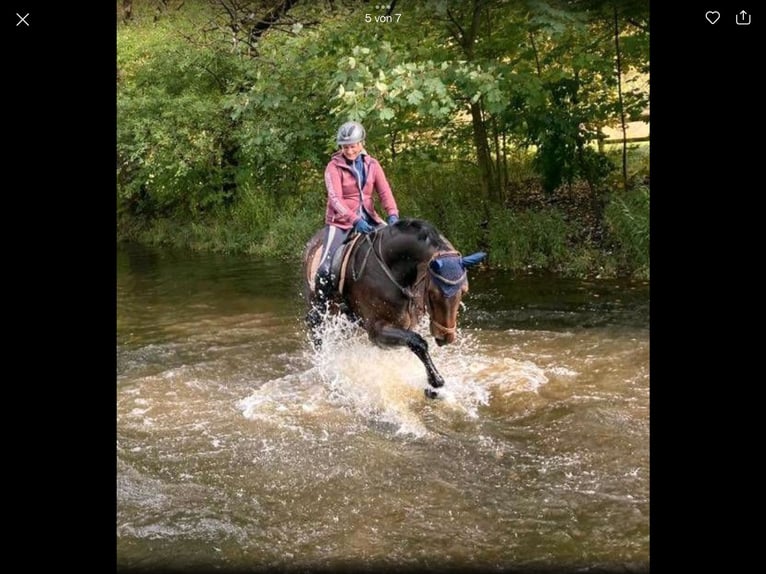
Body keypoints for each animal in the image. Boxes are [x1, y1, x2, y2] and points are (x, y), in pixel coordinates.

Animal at [302, 218, 486, 398]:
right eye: (433, 293)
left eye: (464, 291)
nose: (446, 337)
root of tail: (315, 239)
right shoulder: (376, 330)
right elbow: (418, 342)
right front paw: (435, 382)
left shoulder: (406, 324)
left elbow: (411, 344)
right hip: (319, 306)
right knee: (316, 329)